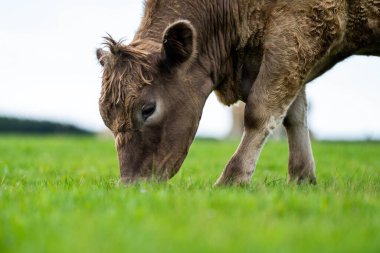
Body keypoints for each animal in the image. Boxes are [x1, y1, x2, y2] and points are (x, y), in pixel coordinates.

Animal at [96, 0, 378, 186]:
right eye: (107, 120)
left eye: (148, 109)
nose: (131, 184)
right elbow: (294, 116)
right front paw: (302, 178)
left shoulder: (297, 33)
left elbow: (260, 113)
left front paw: (232, 179)